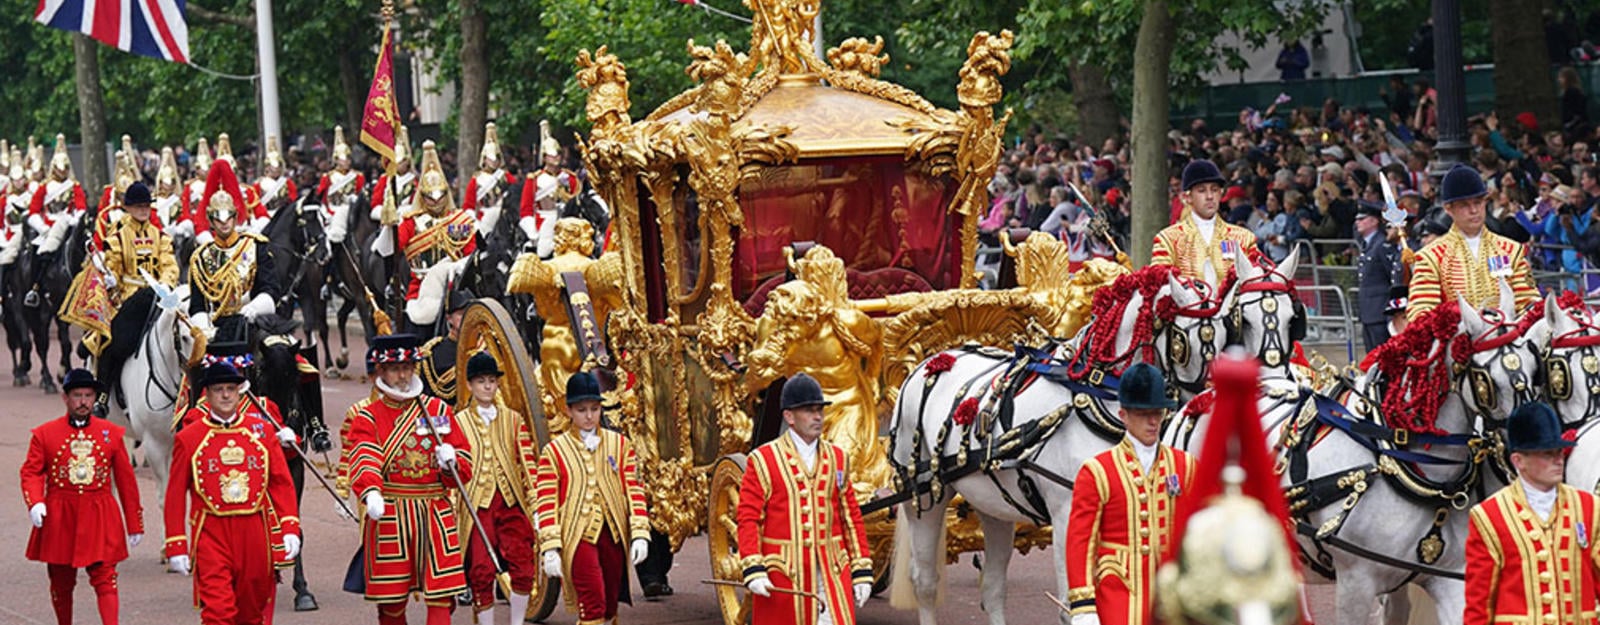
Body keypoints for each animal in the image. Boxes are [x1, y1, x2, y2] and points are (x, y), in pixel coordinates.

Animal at [889, 270, 1222, 625]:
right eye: (1184, 340)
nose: (1207, 402)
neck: (1093, 402)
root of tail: (929, 363)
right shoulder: (1067, 514)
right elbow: (1073, 605)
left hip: (992, 503)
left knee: (992, 586)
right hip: (924, 495)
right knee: (924, 582)